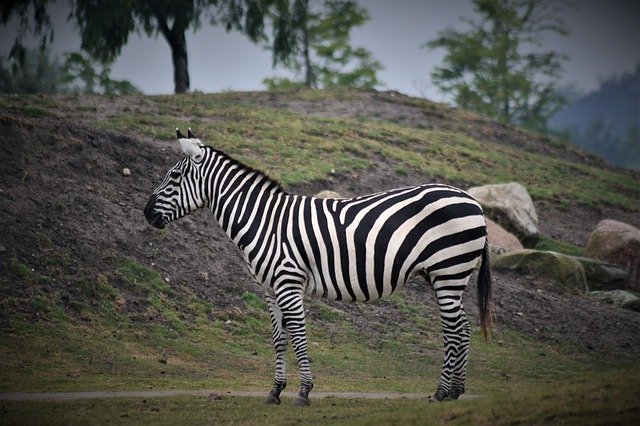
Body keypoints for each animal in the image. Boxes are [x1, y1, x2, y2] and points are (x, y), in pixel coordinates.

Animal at [145, 129, 492, 406]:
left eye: (173, 177)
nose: (146, 213)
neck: (265, 221)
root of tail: (473, 202)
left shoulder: (288, 282)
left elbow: (299, 336)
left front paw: (303, 393)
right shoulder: (270, 289)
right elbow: (279, 339)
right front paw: (275, 392)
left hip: (448, 271)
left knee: (453, 331)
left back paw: (441, 392)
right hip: (448, 276)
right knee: (463, 328)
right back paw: (456, 391)